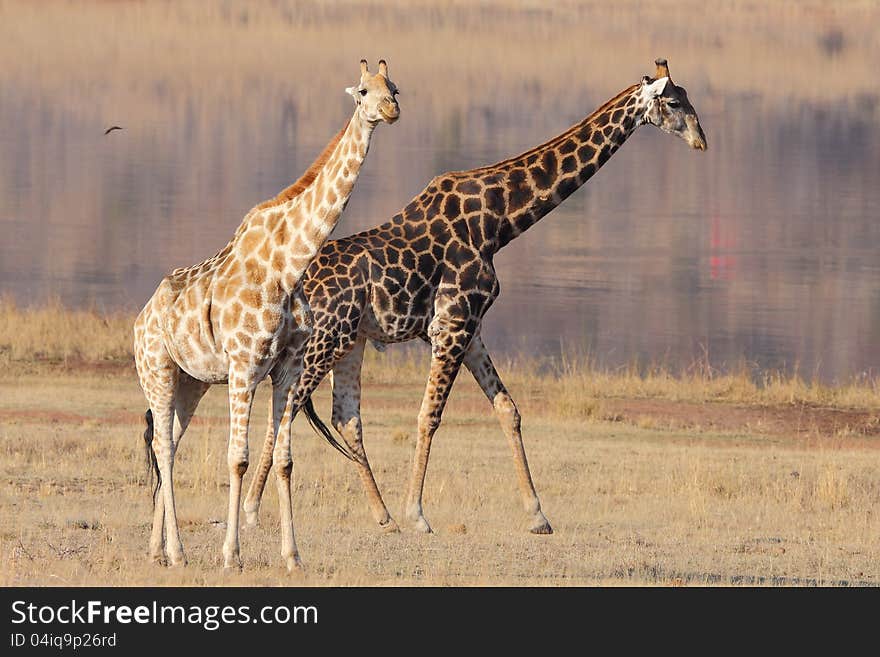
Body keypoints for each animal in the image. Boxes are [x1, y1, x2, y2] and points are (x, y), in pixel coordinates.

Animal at [132, 59, 400, 568]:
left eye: (394, 87)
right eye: (363, 91)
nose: (391, 110)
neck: (288, 266)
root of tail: (140, 318)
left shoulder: (287, 368)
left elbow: (284, 460)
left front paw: (293, 556)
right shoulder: (243, 367)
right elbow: (237, 457)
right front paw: (231, 555)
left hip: (191, 381)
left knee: (169, 441)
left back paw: (158, 549)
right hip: (155, 368)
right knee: (163, 447)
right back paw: (177, 551)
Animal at [242, 59, 708, 536]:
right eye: (674, 102)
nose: (701, 140)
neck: (499, 221)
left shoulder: (472, 328)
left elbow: (508, 408)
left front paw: (537, 514)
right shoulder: (452, 325)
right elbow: (428, 415)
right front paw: (418, 514)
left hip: (350, 342)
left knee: (342, 417)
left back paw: (381, 515)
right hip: (323, 342)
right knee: (285, 408)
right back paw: (255, 509)